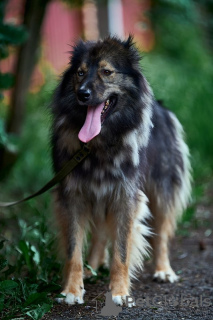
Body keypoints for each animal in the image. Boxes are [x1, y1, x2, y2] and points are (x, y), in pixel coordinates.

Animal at [51, 36, 191, 306]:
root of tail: (162, 107)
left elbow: (122, 251)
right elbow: (74, 250)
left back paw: (163, 270)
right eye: (80, 72)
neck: (99, 144)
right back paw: (92, 268)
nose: (82, 94)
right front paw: (72, 290)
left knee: (162, 235)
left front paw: (119, 292)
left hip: (161, 191)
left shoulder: (126, 198)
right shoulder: (73, 196)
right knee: (99, 235)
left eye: (107, 72)